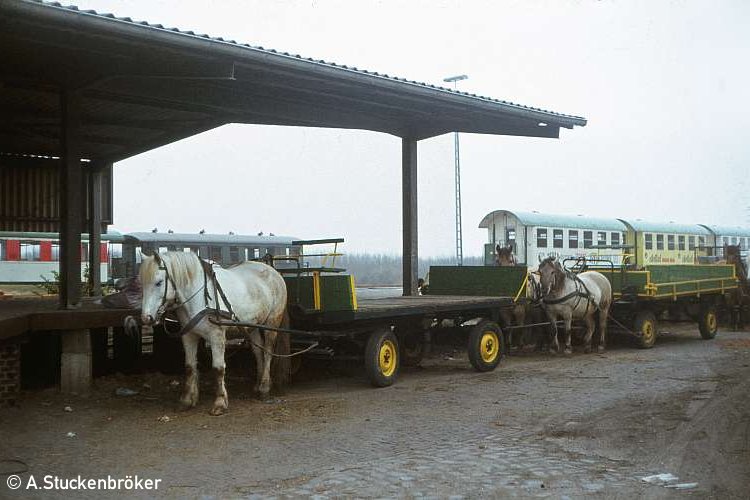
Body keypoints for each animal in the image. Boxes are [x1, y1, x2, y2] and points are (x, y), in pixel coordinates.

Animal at [140, 252, 290, 416]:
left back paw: (264, 388)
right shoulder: (189, 335)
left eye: (159, 282)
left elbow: (218, 368)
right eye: (142, 283)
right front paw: (187, 400)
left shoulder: (216, 336)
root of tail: (273, 271)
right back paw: (258, 385)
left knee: (268, 352)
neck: (199, 297)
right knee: (258, 352)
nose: (146, 318)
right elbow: (189, 367)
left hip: (271, 323)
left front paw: (220, 402)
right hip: (253, 326)